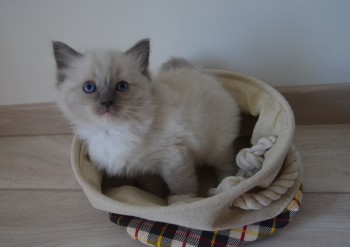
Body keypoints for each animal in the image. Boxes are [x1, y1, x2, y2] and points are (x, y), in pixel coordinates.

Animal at [52, 39, 241, 203]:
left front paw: (179, 200)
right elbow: (151, 187)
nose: (107, 103)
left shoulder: (174, 158)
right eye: (89, 87)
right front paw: (155, 198)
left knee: (227, 165)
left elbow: (180, 185)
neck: (113, 131)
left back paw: (224, 185)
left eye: (122, 86)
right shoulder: (142, 169)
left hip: (216, 150)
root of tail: (200, 72)